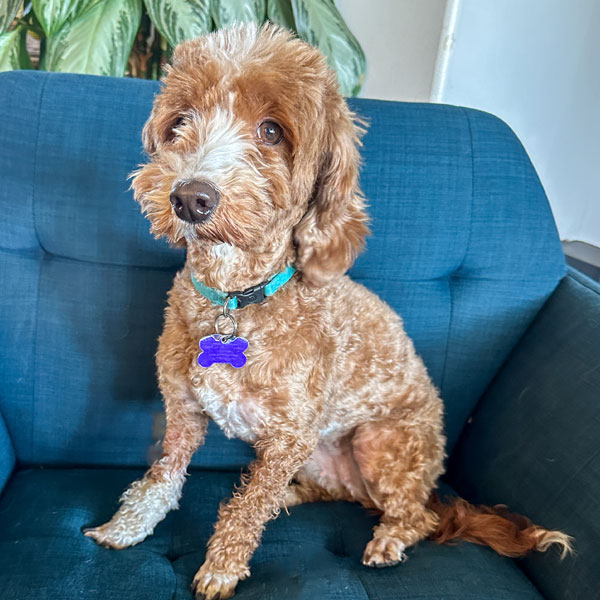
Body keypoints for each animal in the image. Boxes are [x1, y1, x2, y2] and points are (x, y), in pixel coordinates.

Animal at [84, 23, 572, 600]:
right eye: (181, 120)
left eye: (272, 132)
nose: (190, 198)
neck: (234, 299)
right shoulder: (183, 409)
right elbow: (162, 476)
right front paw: (128, 526)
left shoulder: (289, 436)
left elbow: (247, 510)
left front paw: (222, 567)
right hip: (320, 454)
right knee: (335, 494)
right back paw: (296, 496)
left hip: (379, 442)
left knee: (417, 517)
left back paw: (388, 539)